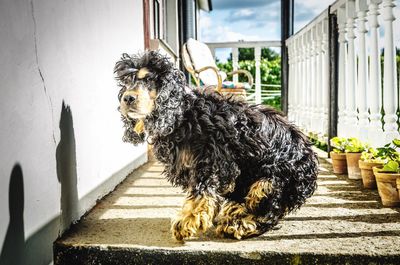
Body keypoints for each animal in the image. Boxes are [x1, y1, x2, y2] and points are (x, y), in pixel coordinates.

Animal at [114, 50, 318, 240]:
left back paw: (241, 224)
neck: (184, 114)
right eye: (127, 82)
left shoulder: (213, 160)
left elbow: (201, 192)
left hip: (270, 181)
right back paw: (235, 211)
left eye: (149, 79)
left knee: (269, 212)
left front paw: (187, 220)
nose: (127, 98)